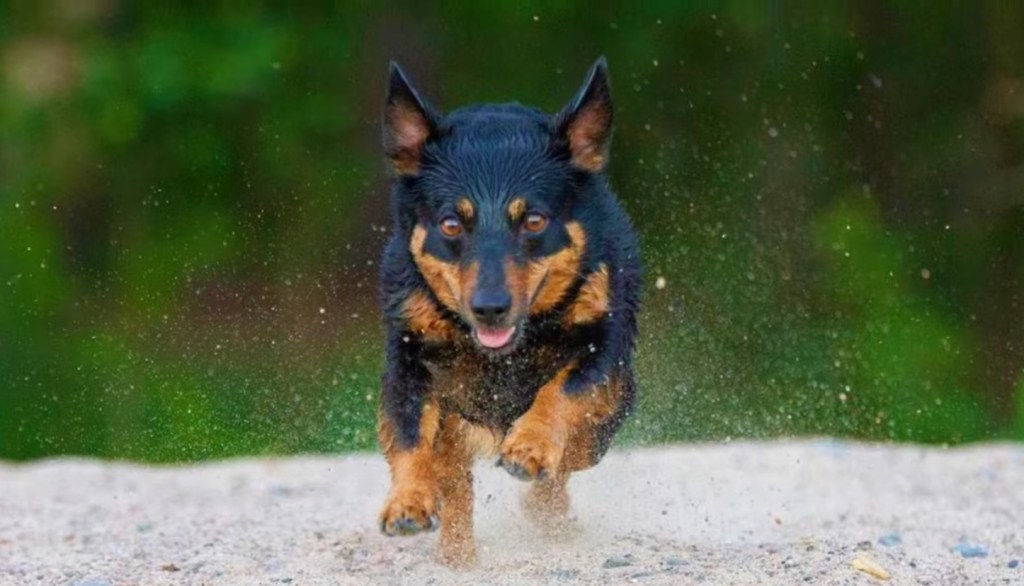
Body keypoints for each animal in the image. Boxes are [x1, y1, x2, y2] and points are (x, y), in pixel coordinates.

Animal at [374, 57, 638, 565]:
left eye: (533, 220)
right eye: (450, 224)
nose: (489, 308)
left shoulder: (603, 351)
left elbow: (562, 392)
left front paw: (530, 447)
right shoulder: (408, 364)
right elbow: (410, 434)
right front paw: (408, 500)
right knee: (456, 485)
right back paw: (457, 557)